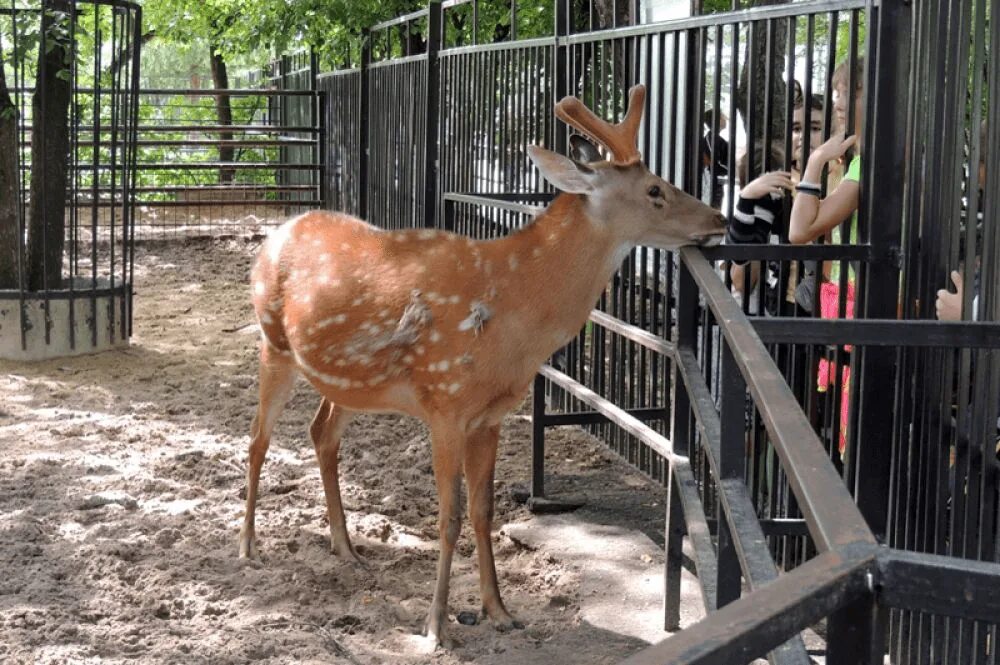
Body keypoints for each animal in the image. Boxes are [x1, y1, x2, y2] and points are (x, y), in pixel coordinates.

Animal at [243, 85, 728, 644]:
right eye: (654, 189)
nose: (719, 219)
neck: (515, 323)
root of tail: (272, 237)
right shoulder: (445, 402)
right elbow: (449, 517)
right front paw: (436, 626)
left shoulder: (490, 415)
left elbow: (483, 510)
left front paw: (499, 610)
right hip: (273, 341)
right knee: (257, 438)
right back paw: (248, 547)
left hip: (346, 380)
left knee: (321, 432)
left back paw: (346, 548)